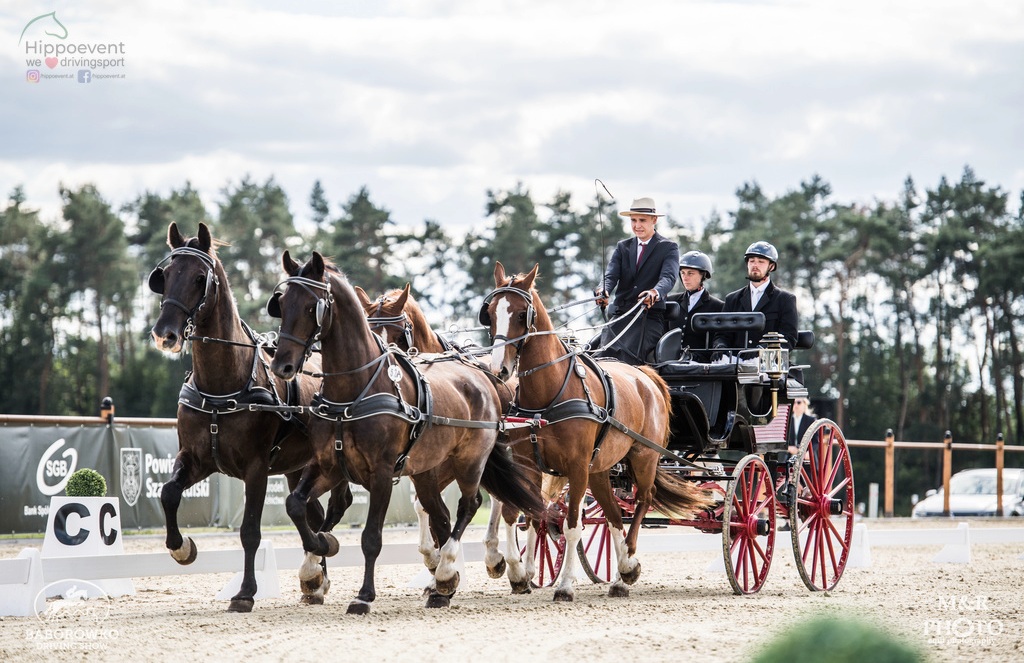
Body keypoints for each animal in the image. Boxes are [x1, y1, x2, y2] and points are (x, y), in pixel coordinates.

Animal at [146, 225, 350, 614]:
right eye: (164, 276)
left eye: (199, 278)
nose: (165, 334)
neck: (222, 385)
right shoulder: (196, 459)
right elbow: (168, 493)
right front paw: (182, 548)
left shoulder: (256, 469)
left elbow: (250, 532)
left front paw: (245, 592)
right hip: (295, 466)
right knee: (313, 510)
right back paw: (315, 574)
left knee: (334, 506)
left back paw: (318, 557)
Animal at [268, 253, 548, 610]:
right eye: (281, 303)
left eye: (310, 307)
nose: (282, 365)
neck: (356, 391)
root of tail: (486, 376)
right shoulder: (332, 465)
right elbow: (297, 505)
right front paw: (317, 559)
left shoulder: (384, 470)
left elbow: (372, 537)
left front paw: (365, 595)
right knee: (456, 511)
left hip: (473, 461)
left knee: (481, 504)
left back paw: (479, 567)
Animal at [481, 262, 712, 602]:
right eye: (491, 312)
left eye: (523, 313)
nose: (499, 369)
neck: (549, 393)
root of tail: (646, 375)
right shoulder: (529, 463)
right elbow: (524, 513)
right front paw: (521, 574)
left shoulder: (577, 468)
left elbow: (571, 525)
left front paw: (564, 586)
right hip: (601, 470)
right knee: (614, 515)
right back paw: (621, 573)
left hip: (643, 458)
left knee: (642, 501)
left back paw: (627, 569)